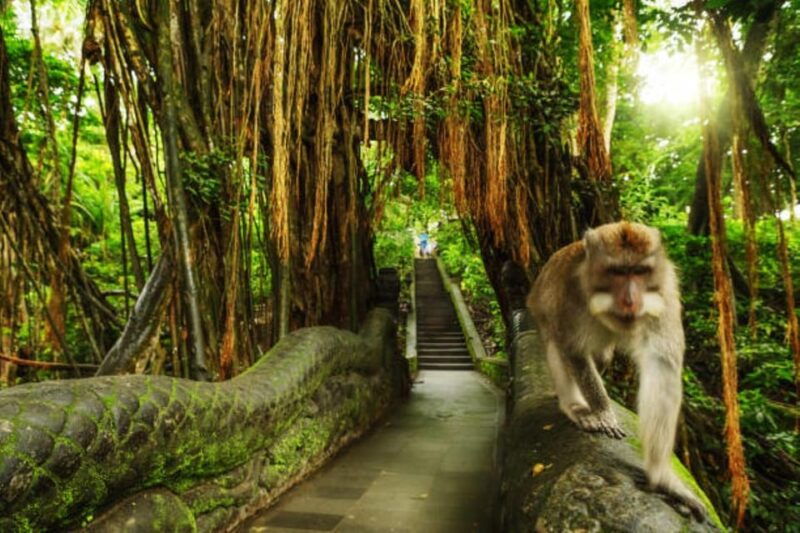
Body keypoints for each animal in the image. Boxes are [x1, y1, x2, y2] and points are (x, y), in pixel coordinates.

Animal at [527, 221, 706, 520]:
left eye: (640, 271)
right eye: (617, 272)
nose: (630, 300)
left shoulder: (665, 291)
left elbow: (662, 365)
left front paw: (662, 478)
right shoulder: (569, 293)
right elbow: (573, 349)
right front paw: (602, 411)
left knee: (601, 357)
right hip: (540, 312)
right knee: (557, 345)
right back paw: (573, 405)